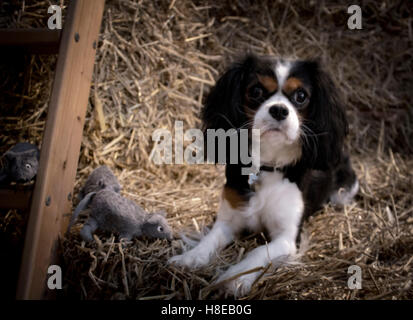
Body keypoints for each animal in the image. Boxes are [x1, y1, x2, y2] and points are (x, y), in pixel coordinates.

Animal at [167, 53, 358, 296]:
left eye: (301, 96)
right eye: (256, 91)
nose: (279, 110)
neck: (268, 164)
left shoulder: (287, 239)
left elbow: (257, 252)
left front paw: (235, 279)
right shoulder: (228, 220)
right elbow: (210, 239)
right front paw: (190, 258)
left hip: (343, 192)